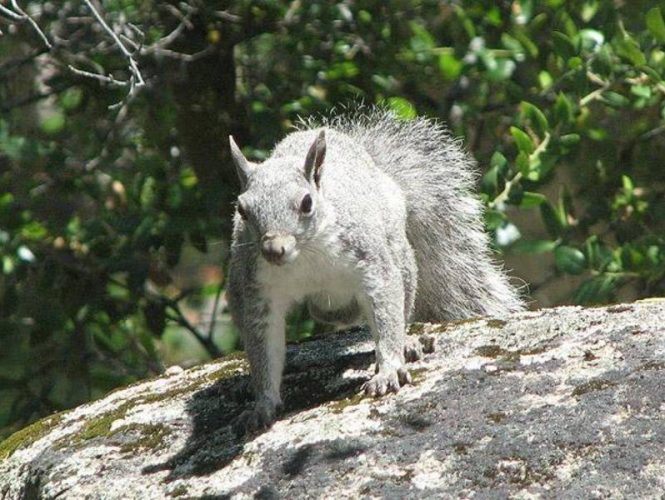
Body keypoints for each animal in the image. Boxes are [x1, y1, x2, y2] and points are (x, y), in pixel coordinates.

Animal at [228, 107, 524, 432]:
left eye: (307, 203)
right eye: (242, 209)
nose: (273, 249)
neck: (306, 256)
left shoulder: (372, 264)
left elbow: (386, 314)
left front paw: (388, 371)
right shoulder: (257, 290)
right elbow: (263, 346)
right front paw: (262, 404)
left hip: (400, 255)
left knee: (401, 303)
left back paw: (407, 342)